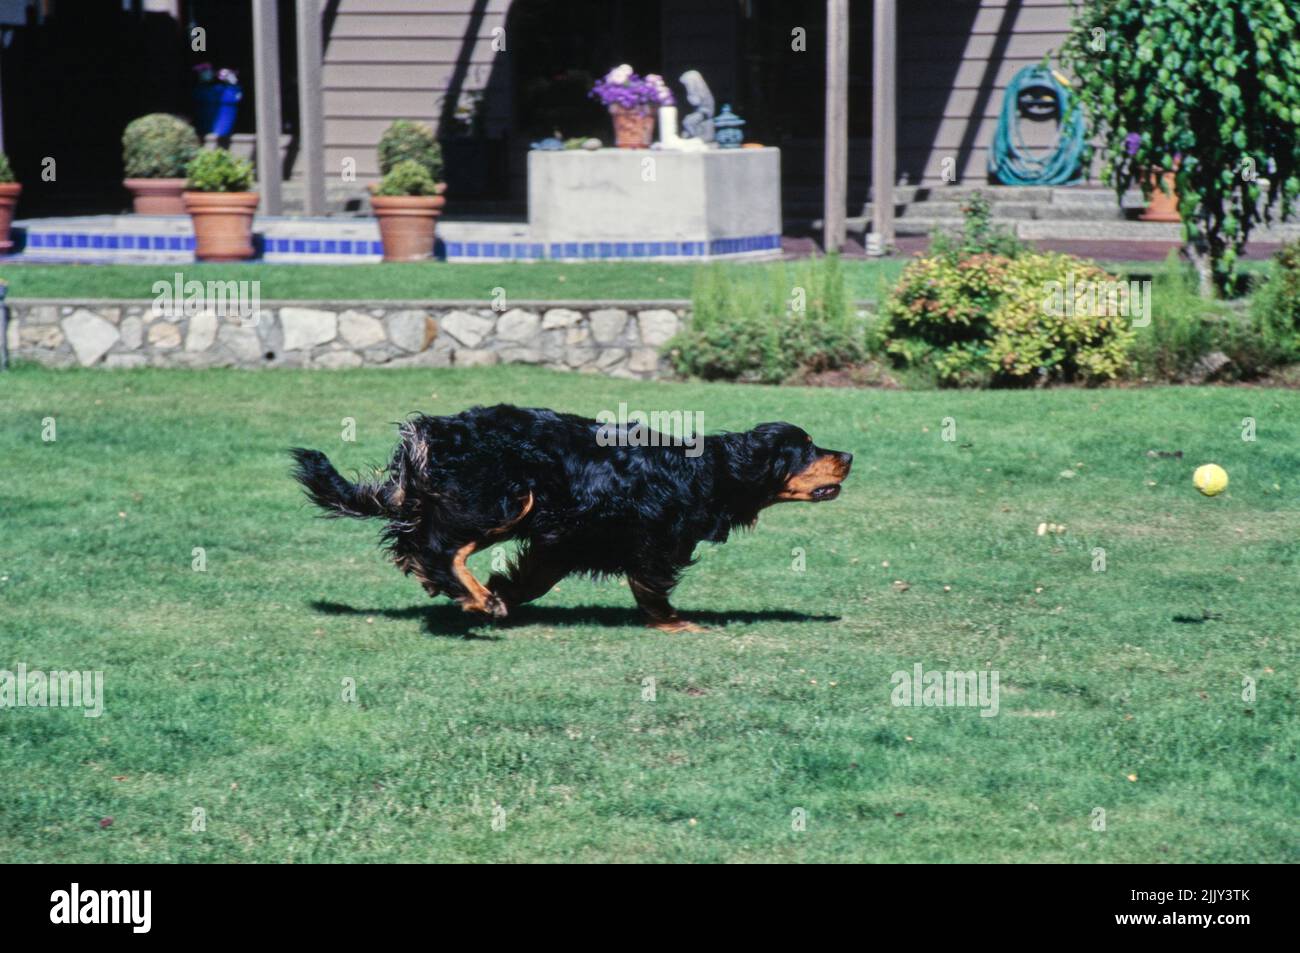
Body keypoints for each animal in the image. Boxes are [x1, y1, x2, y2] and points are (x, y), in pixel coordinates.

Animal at [289, 403, 847, 631]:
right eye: (806, 447)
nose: (848, 455)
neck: (708, 470)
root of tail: (433, 431)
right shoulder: (651, 540)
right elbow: (653, 589)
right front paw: (678, 625)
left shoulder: (567, 542)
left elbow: (531, 578)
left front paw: (501, 594)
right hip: (506, 498)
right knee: (439, 547)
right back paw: (473, 597)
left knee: (416, 543)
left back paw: (467, 594)